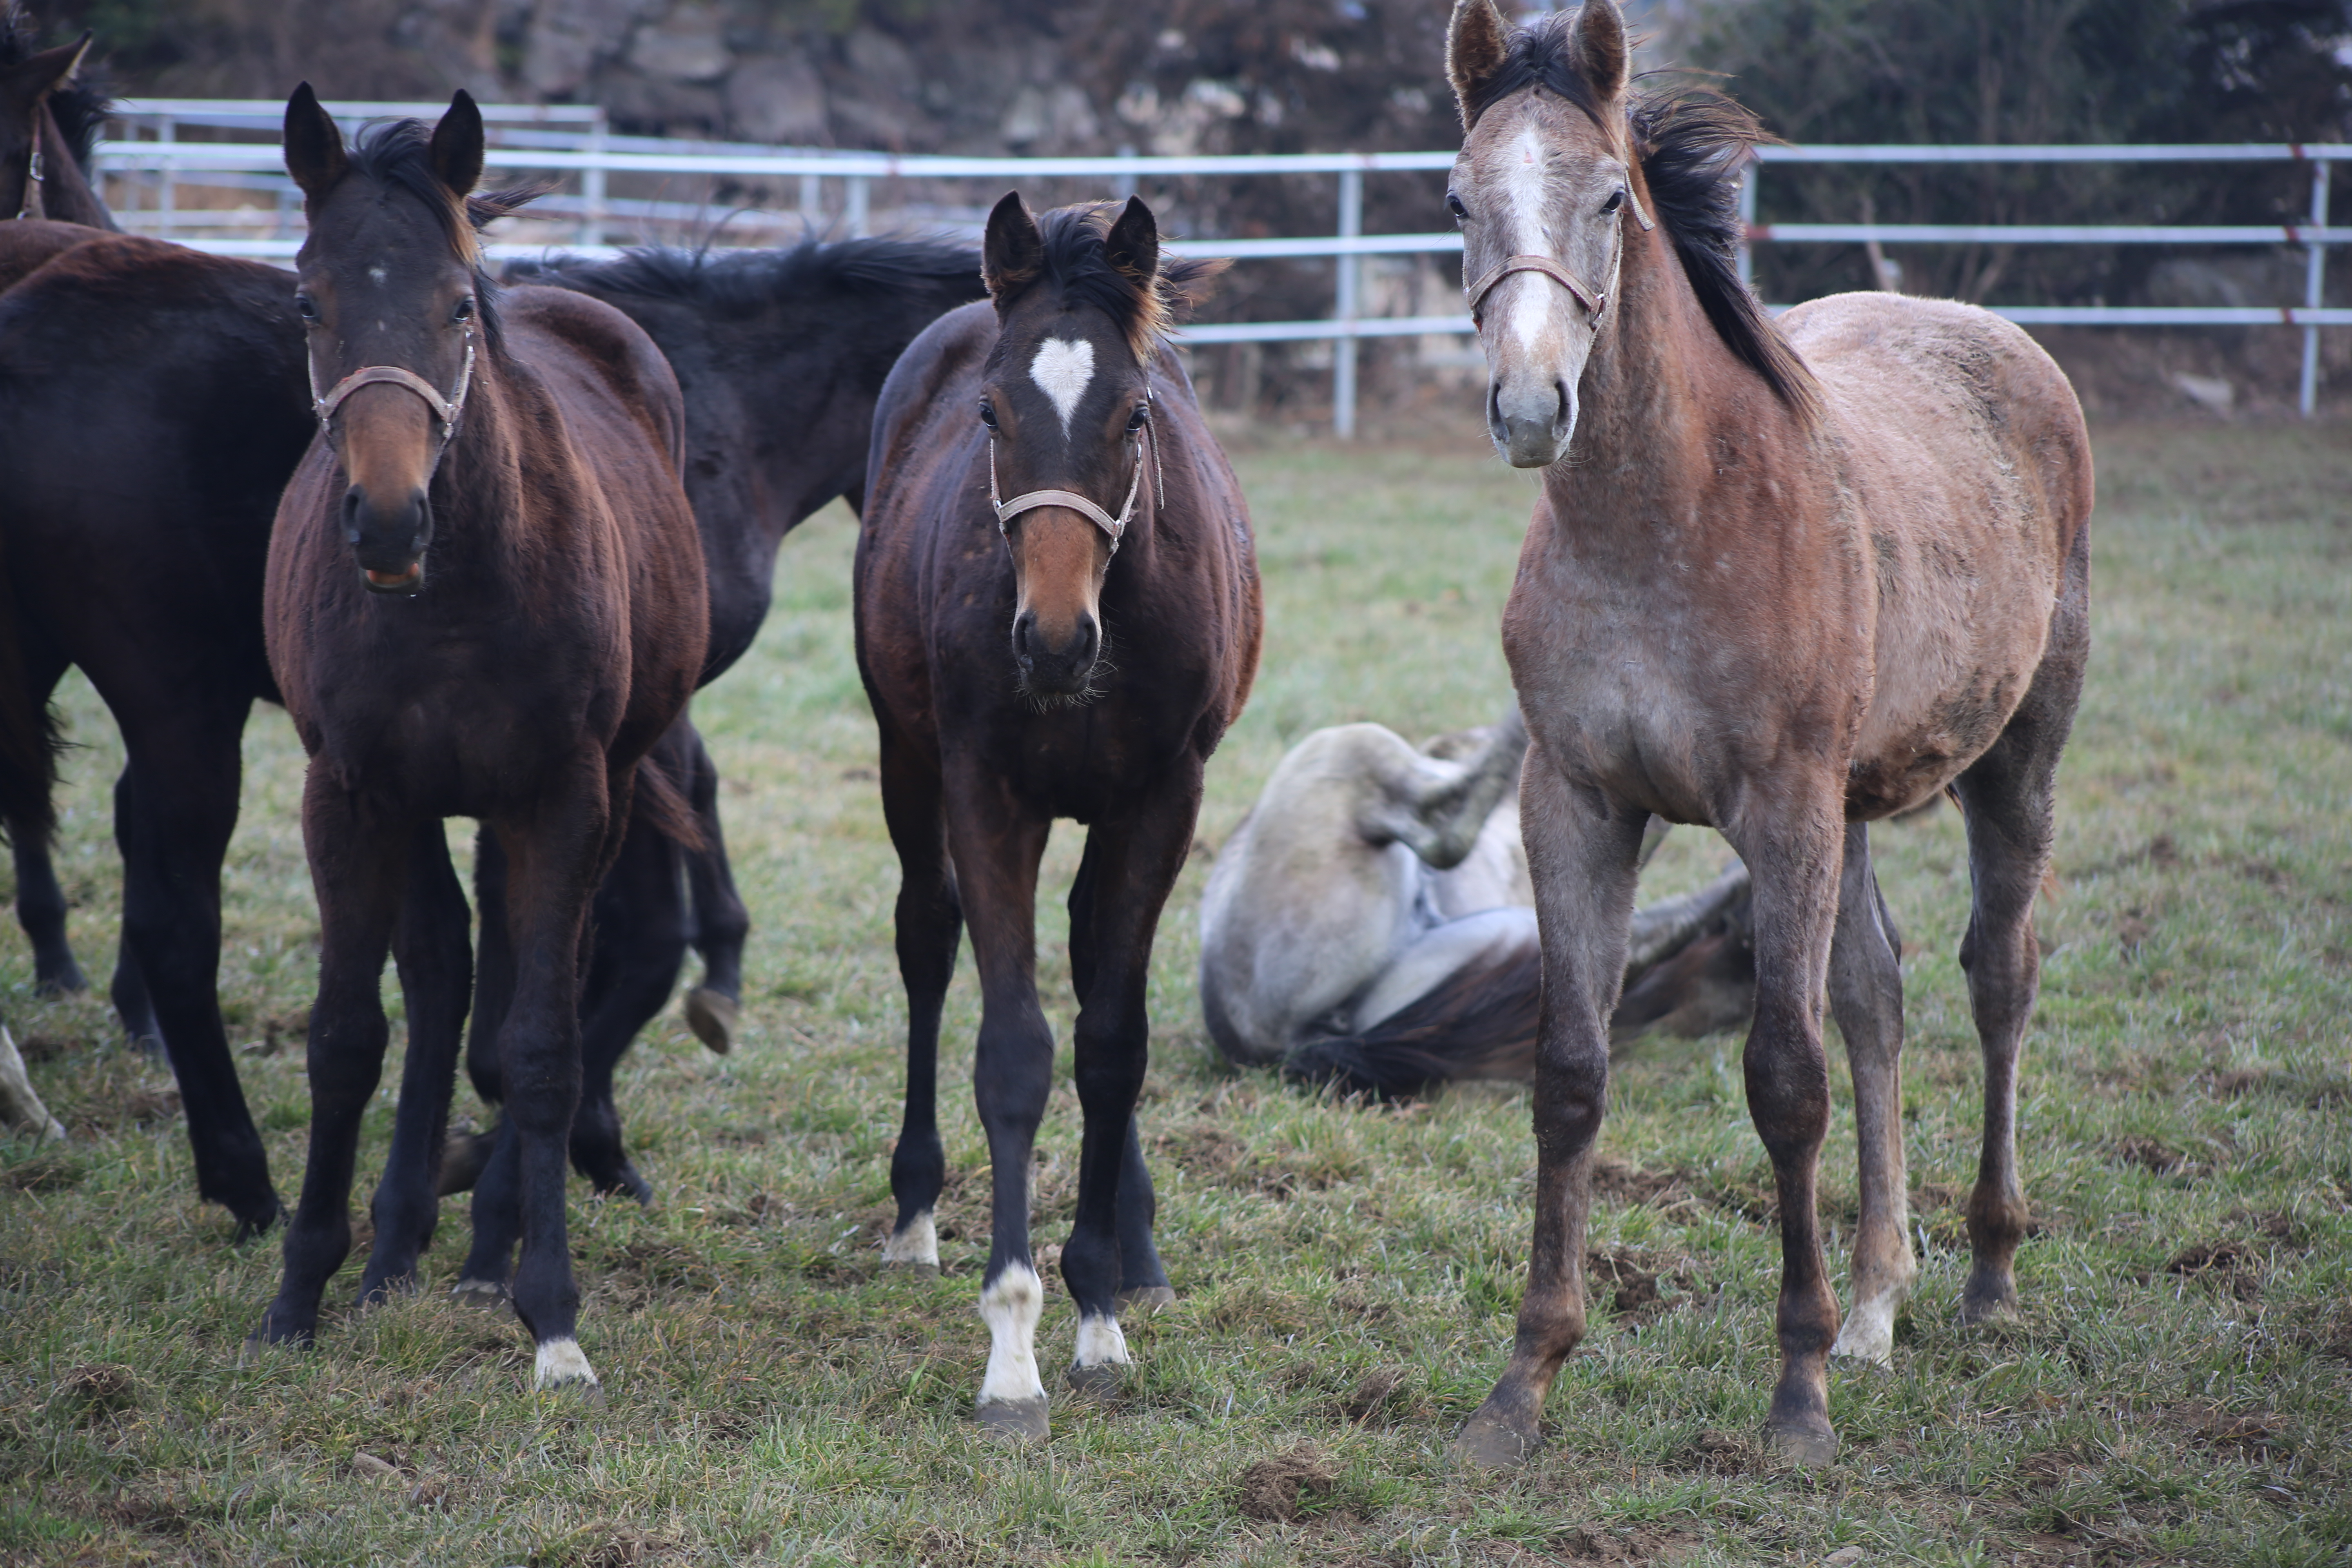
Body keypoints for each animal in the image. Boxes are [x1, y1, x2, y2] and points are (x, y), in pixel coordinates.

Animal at [254, 89, 706, 1401]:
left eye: (459, 303)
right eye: (307, 302)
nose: (387, 519)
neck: (448, 602)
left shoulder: (560, 796)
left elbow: (543, 1048)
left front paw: (549, 1316)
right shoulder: (350, 794)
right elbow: (348, 1037)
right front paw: (300, 1293)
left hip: (582, 793)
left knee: (514, 993)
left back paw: (479, 1251)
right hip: (423, 809)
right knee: (446, 977)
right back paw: (396, 1249)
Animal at [1449, 3, 2098, 1476]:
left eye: (1612, 198)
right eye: (1457, 199)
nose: (1531, 409)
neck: (1663, 524)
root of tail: (1993, 334)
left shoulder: (1783, 804)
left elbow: (1786, 1079)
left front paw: (1794, 1396)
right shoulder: (1577, 803)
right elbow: (1571, 1073)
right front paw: (1524, 1382)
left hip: (2015, 756)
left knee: (1999, 977)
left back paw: (1985, 1275)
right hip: (1853, 806)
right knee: (1878, 994)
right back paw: (1874, 1305)